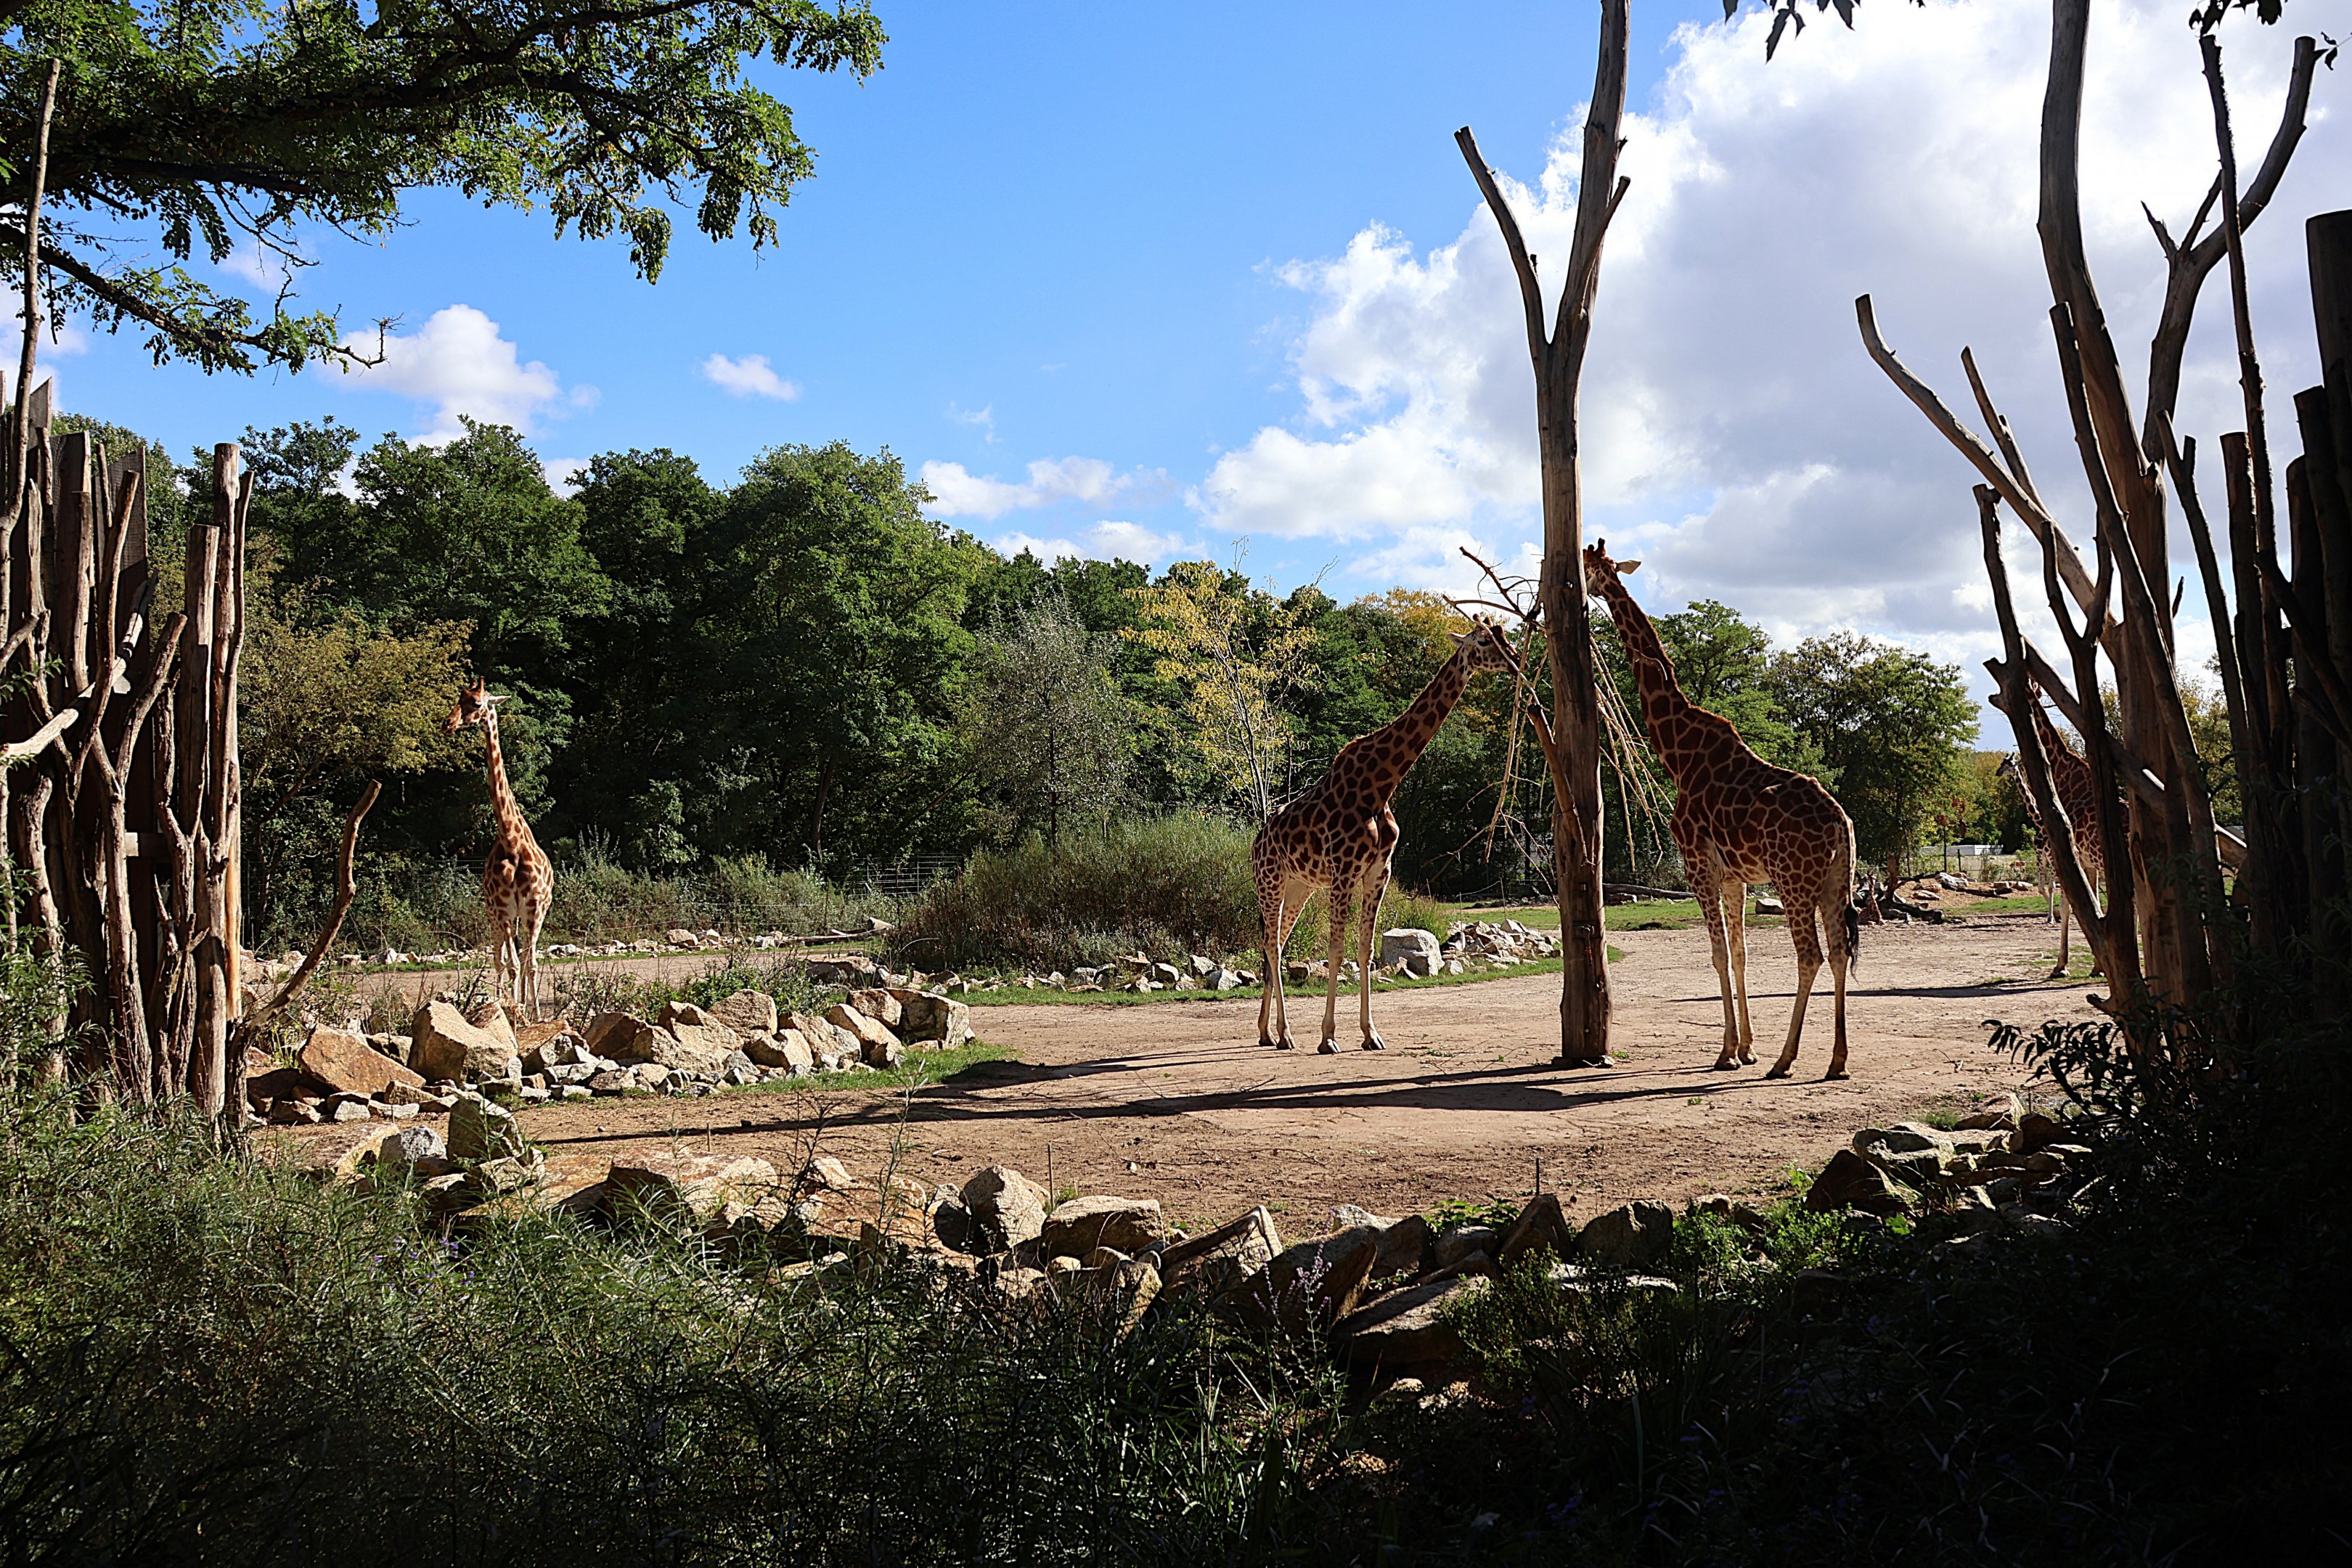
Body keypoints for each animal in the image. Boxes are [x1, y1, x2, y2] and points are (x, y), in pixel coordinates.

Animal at [443, 682, 555, 1021]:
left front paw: (534, 1016)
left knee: (520, 958)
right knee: (500, 959)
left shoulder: (534, 908)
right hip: (495, 915)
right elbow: (513, 964)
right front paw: (514, 1012)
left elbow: (530, 964)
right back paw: (500, 1002)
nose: (447, 724)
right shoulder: (503, 909)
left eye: (478, 703)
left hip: (524, 915)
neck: (511, 841)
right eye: (460, 699)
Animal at [1254, 616, 1518, 1053]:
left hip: (1298, 887)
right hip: (1270, 882)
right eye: (1483, 641)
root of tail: (1256, 840)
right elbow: (1337, 950)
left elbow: (1365, 950)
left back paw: (1266, 1032)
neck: (1382, 784)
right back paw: (1286, 1034)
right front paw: (1328, 1037)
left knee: (1274, 943)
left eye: (1506, 637)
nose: (1514, 663)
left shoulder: (1379, 870)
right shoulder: (1344, 871)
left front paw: (1370, 1034)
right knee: (1273, 946)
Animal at [1584, 543, 1863, 1078]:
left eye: (1591, 567)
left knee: (1810, 956)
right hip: (1835, 880)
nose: (1587, 588)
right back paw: (1837, 1060)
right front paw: (1746, 1047)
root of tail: (1841, 824)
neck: (1678, 752)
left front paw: (1728, 1052)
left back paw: (1786, 1059)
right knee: (1839, 953)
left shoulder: (1699, 864)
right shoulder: (1735, 875)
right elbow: (1740, 954)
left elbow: (1715, 954)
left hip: (1793, 880)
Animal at [1999, 690, 2107, 980]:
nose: (1998, 772)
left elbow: (2054, 890)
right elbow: (2058, 891)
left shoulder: (2053, 857)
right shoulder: (2057, 859)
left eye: (2007, 763)